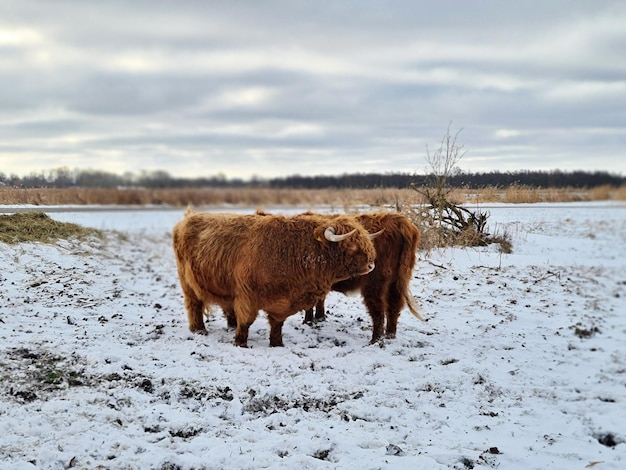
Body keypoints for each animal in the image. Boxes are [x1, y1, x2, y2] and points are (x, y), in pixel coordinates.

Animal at [171, 207, 376, 346]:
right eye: (351, 246)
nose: (371, 265)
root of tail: (189, 216)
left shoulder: (282, 301)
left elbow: (277, 323)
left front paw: (277, 343)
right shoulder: (247, 295)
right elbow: (246, 321)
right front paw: (240, 342)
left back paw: (229, 325)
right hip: (188, 283)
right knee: (194, 305)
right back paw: (199, 330)